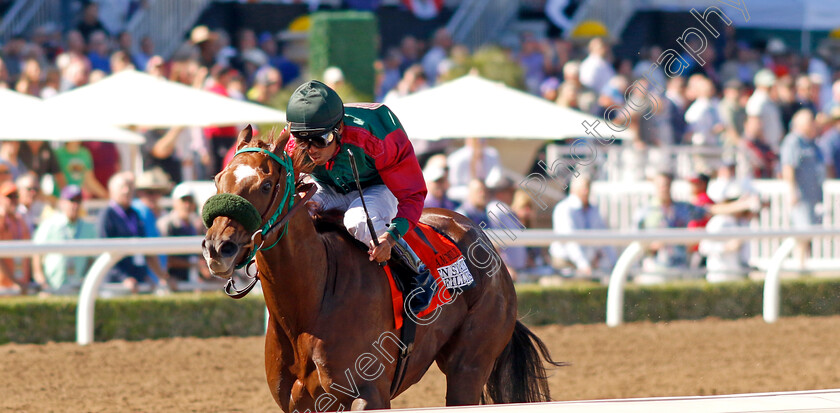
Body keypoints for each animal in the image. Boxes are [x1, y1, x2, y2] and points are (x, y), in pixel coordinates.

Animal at [200, 127, 560, 410]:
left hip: (468, 368)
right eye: (217, 180)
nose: (218, 248)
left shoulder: (369, 394)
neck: (311, 303)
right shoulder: (298, 402)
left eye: (265, 185)